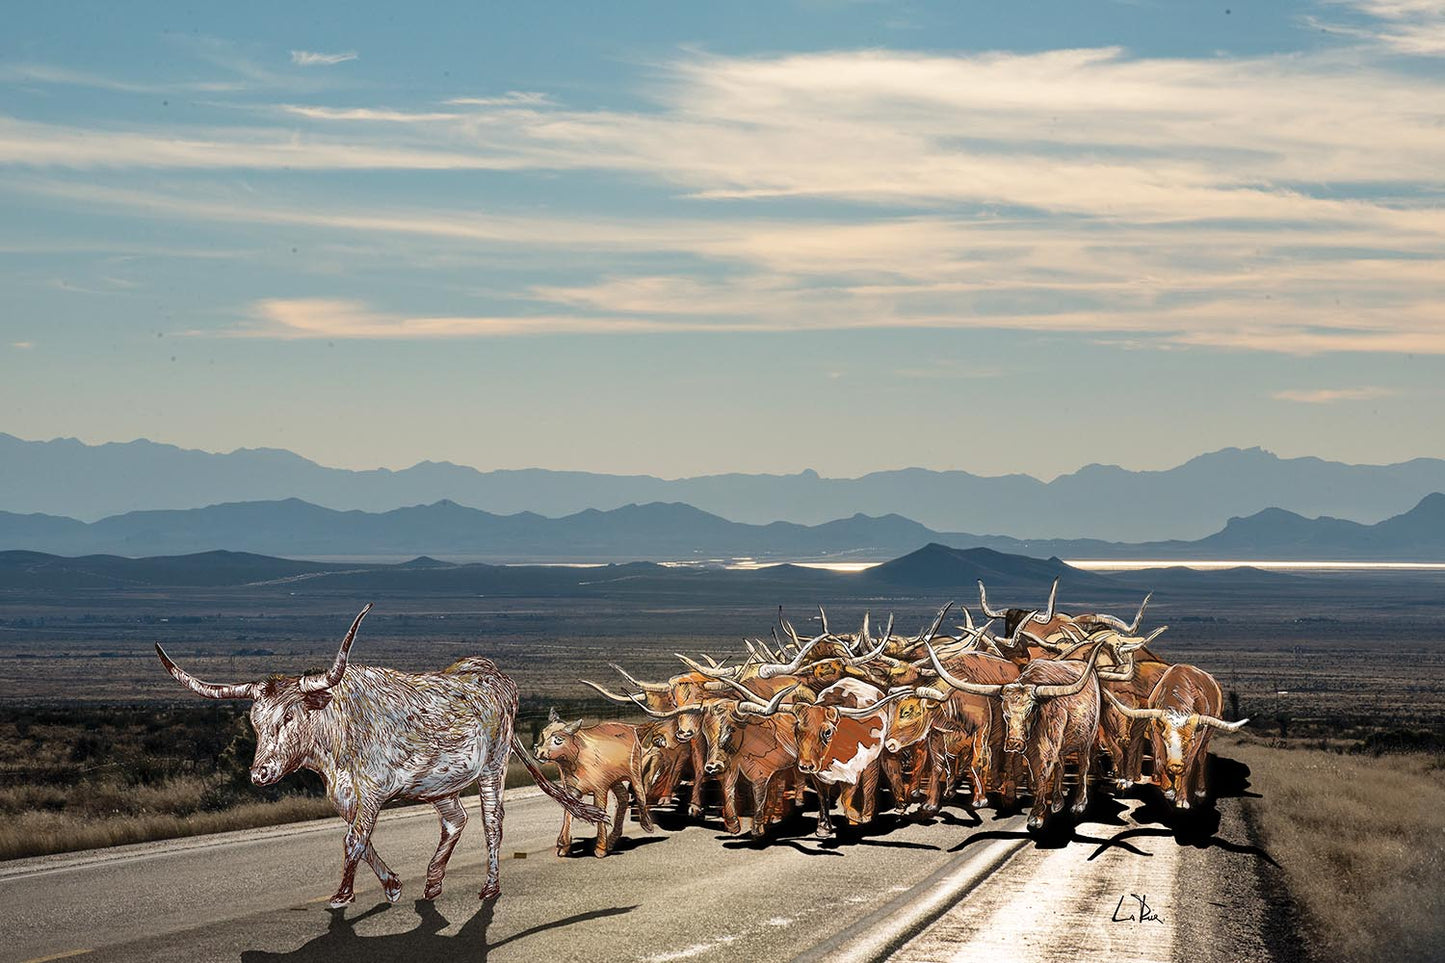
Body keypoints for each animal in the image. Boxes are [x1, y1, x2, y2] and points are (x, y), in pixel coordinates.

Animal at [155, 604, 606, 902]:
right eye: (255, 722)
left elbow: (353, 840)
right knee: (455, 820)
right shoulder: (343, 796)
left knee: (491, 823)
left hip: (492, 767)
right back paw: (433, 881)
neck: (338, 736)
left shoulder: (371, 791)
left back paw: (489, 885)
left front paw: (342, 895)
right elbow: (360, 839)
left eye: (290, 716)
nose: (259, 774)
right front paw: (391, 884)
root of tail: (491, 672)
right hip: (440, 782)